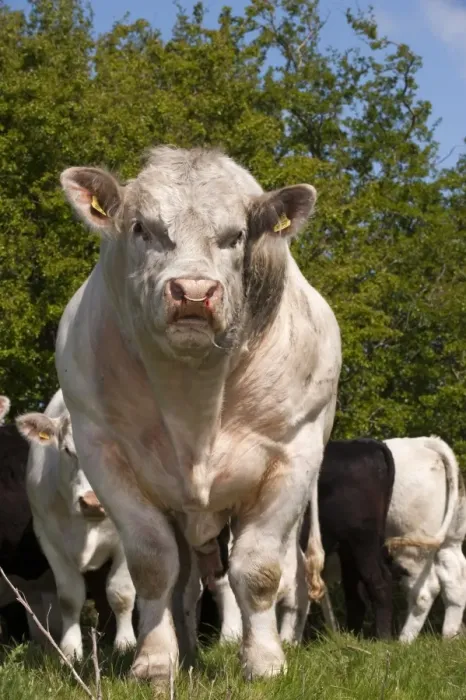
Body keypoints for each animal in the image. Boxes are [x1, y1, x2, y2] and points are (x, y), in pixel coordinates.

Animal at [16, 389, 137, 661]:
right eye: (68, 450)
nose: (93, 502)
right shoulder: (48, 537)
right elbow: (69, 597)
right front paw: (70, 650)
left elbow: (121, 592)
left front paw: (125, 644)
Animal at [55, 145, 342, 681]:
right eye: (141, 228)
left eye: (237, 236)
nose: (192, 292)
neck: (192, 399)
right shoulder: (103, 451)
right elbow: (153, 566)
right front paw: (154, 661)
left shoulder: (293, 454)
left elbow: (258, 569)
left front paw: (264, 661)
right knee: (183, 582)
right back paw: (183, 650)